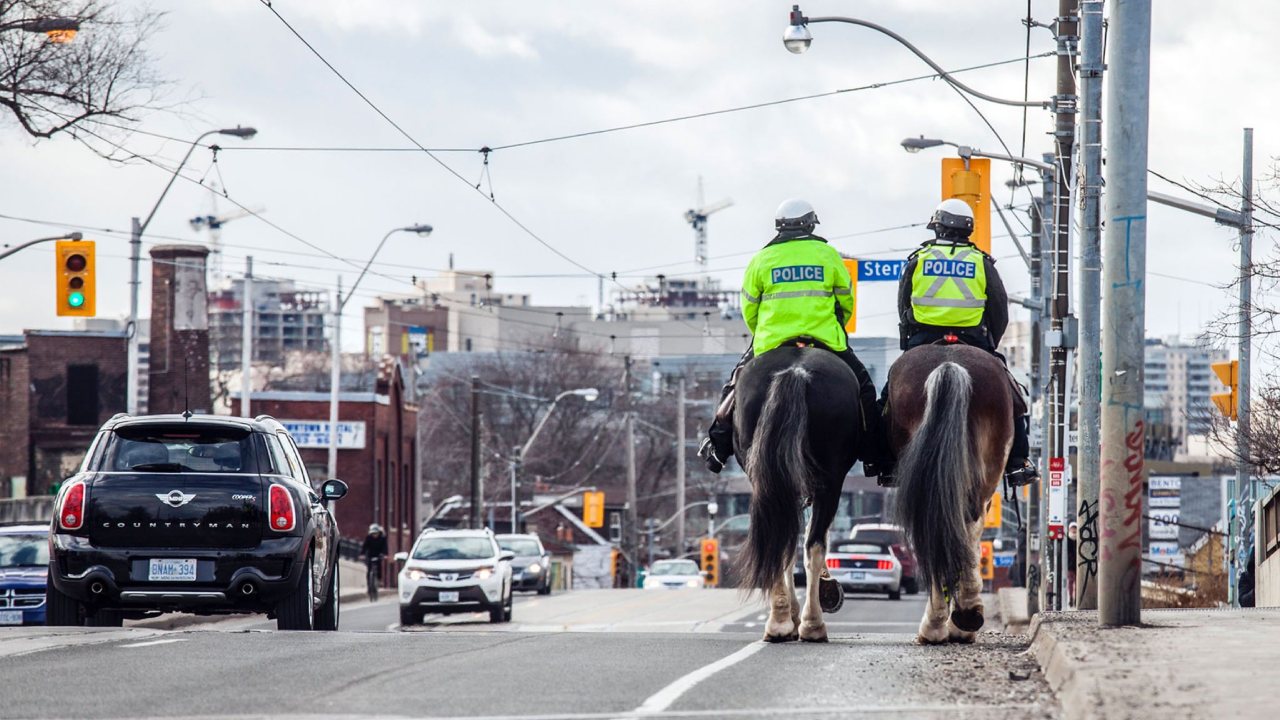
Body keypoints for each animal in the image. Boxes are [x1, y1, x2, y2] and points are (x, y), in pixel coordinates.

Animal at [737, 345, 865, 640]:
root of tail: (795, 371)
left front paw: (788, 616)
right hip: (831, 480)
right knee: (812, 544)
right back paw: (812, 624)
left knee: (781, 537)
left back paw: (779, 623)